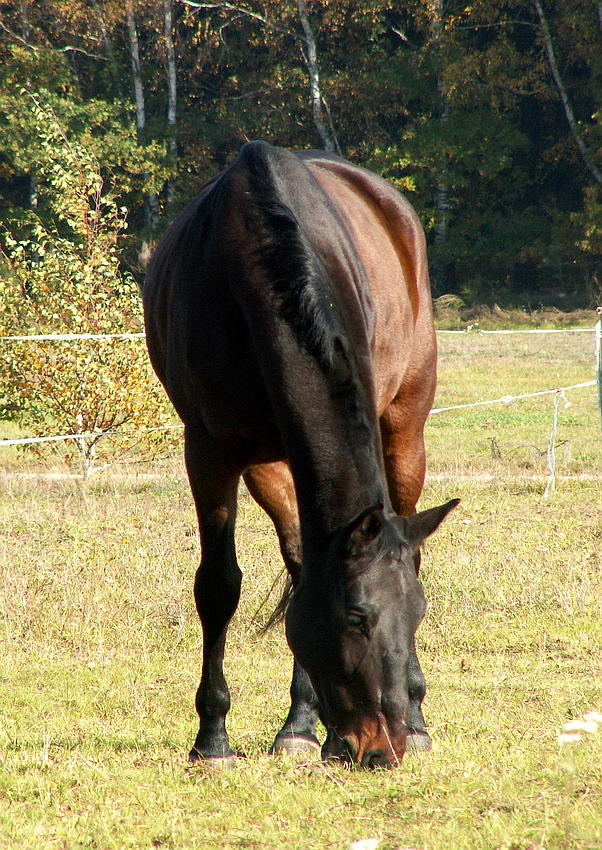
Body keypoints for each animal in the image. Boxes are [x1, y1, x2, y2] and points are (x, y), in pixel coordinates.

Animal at [143, 141, 458, 768]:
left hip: (405, 429)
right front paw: (213, 737)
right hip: (269, 462)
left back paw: (405, 719)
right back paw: (301, 724)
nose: (380, 748)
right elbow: (219, 585)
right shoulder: (210, 449)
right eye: (356, 617)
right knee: (295, 558)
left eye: (418, 613)